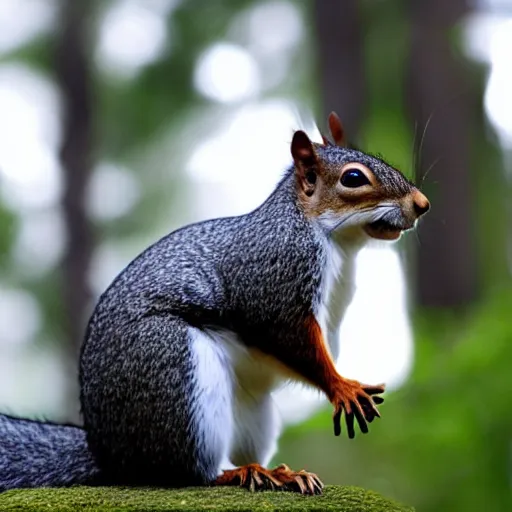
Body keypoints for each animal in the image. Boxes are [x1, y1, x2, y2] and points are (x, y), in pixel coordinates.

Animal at [0, 112, 428, 492]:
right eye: (353, 178)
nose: (422, 204)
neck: (335, 242)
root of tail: (111, 454)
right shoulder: (275, 278)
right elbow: (291, 338)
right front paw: (342, 386)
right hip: (175, 369)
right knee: (188, 472)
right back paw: (236, 474)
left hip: (252, 409)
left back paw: (279, 473)